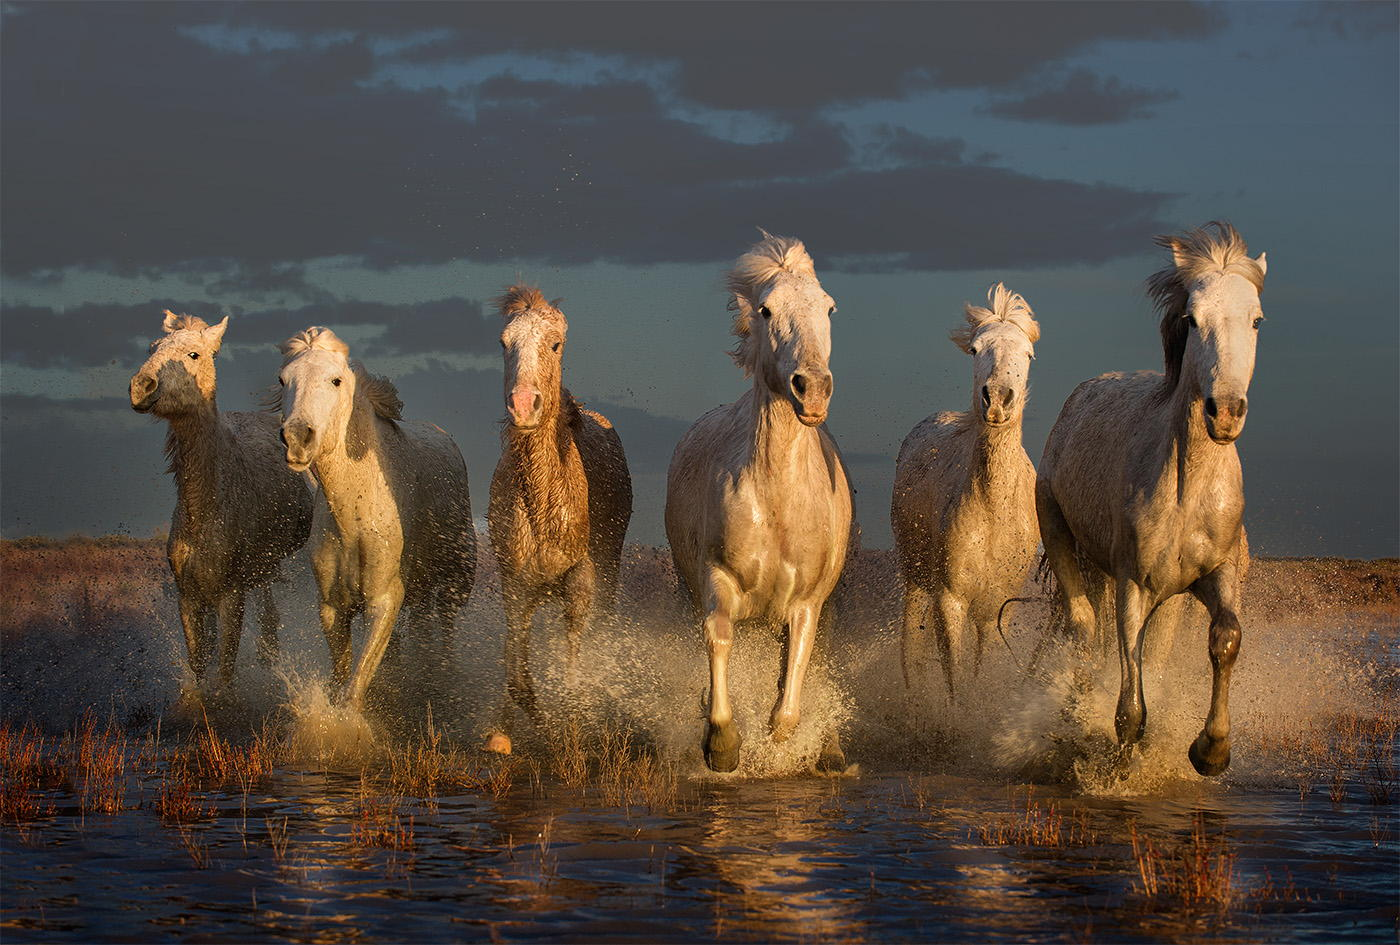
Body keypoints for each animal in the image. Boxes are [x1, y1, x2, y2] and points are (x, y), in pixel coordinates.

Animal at [129, 313, 312, 691]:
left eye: (194, 354)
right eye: (152, 348)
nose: (141, 386)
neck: (205, 510)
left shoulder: (232, 596)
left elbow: (226, 670)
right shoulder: (189, 597)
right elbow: (200, 664)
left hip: (264, 571)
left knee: (268, 615)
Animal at [275, 329, 478, 705]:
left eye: (336, 380)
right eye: (283, 380)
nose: (296, 438)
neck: (354, 517)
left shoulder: (384, 599)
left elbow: (356, 685)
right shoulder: (333, 607)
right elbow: (343, 673)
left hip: (455, 581)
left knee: (445, 627)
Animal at [666, 232, 851, 772]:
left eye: (829, 307)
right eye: (767, 310)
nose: (812, 389)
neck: (777, 503)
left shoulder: (807, 603)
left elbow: (791, 692)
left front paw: (782, 742)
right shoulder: (717, 579)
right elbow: (719, 638)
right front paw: (722, 744)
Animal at [896, 284, 1041, 700]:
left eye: (1028, 353)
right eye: (976, 349)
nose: (997, 400)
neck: (992, 512)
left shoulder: (995, 608)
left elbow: (981, 669)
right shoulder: (951, 600)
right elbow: (956, 676)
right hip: (915, 578)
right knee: (911, 648)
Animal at [1041, 224, 1271, 778]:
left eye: (1256, 319)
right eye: (1192, 319)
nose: (1224, 412)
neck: (1189, 493)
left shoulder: (1218, 574)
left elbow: (1226, 637)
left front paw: (1211, 751)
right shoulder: (1134, 585)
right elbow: (1129, 705)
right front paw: (1120, 770)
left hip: (1167, 596)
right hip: (1063, 539)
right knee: (1084, 630)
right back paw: (1074, 716)